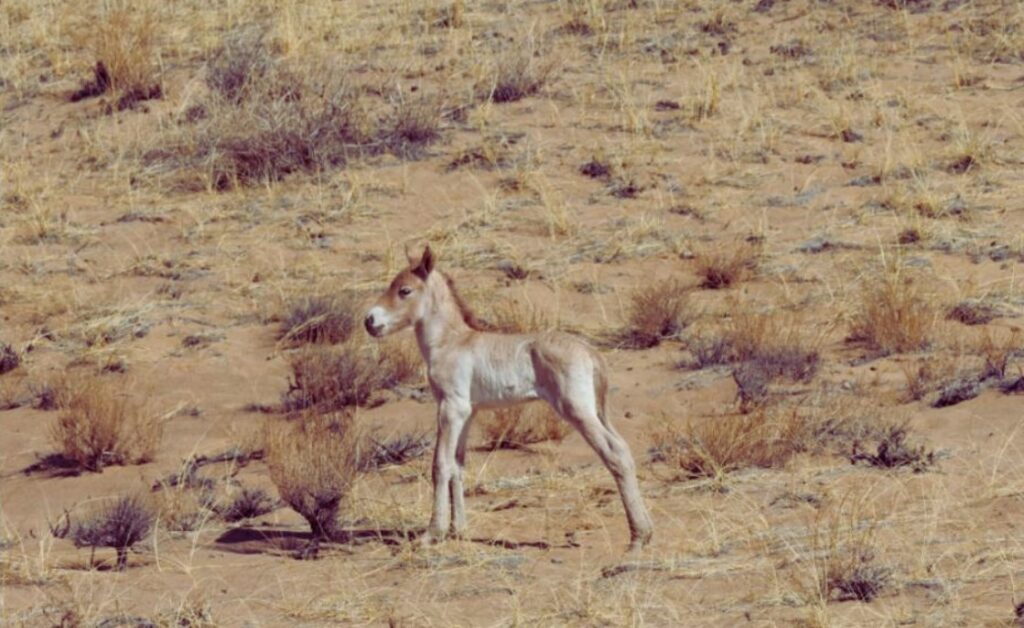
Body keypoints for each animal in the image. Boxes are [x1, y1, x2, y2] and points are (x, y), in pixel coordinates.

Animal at [365, 246, 653, 552]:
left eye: (405, 290)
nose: (369, 321)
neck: (451, 342)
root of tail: (590, 351)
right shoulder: (468, 413)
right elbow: (457, 465)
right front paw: (458, 530)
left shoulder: (450, 408)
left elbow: (440, 465)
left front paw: (433, 533)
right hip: (595, 411)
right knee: (624, 449)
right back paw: (645, 532)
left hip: (577, 410)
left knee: (614, 452)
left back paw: (637, 538)